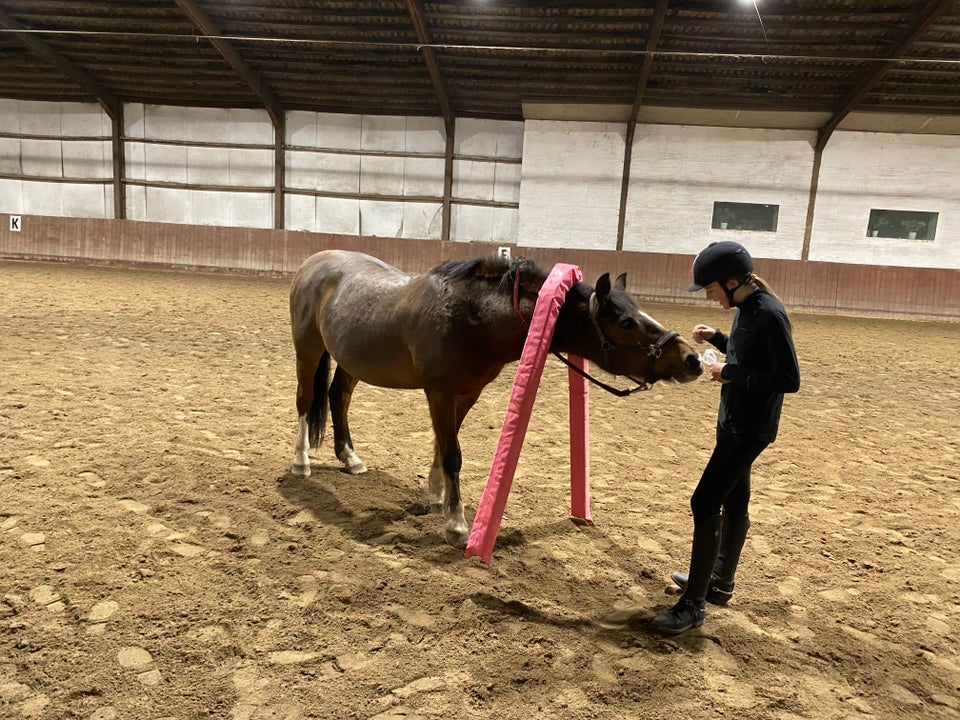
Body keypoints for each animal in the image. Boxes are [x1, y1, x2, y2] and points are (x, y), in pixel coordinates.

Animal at [288, 248, 700, 544]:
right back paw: (301, 463)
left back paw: (350, 458)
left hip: (350, 361)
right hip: (307, 351)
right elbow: (452, 453)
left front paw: (438, 497)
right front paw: (456, 524)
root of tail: (313, 261)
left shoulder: (467, 393)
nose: (692, 359)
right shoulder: (440, 392)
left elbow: (445, 443)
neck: (473, 317)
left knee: (339, 397)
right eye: (627, 321)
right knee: (306, 401)